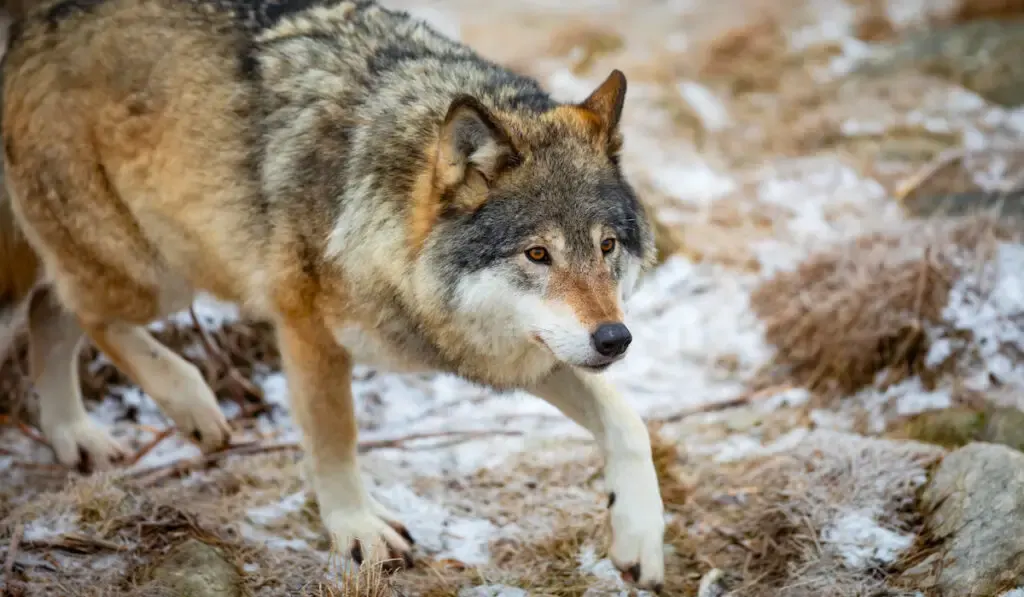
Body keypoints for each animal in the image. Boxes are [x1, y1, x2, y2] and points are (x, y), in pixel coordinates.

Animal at [0, 0, 663, 589]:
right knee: (80, 313)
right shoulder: (307, 331)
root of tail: (36, 16)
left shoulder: (509, 349)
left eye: (607, 246)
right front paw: (358, 530)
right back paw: (193, 407)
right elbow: (334, 436)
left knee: (51, 311)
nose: (616, 339)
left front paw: (640, 537)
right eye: (538, 254)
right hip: (156, 273)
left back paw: (76, 438)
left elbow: (629, 423)